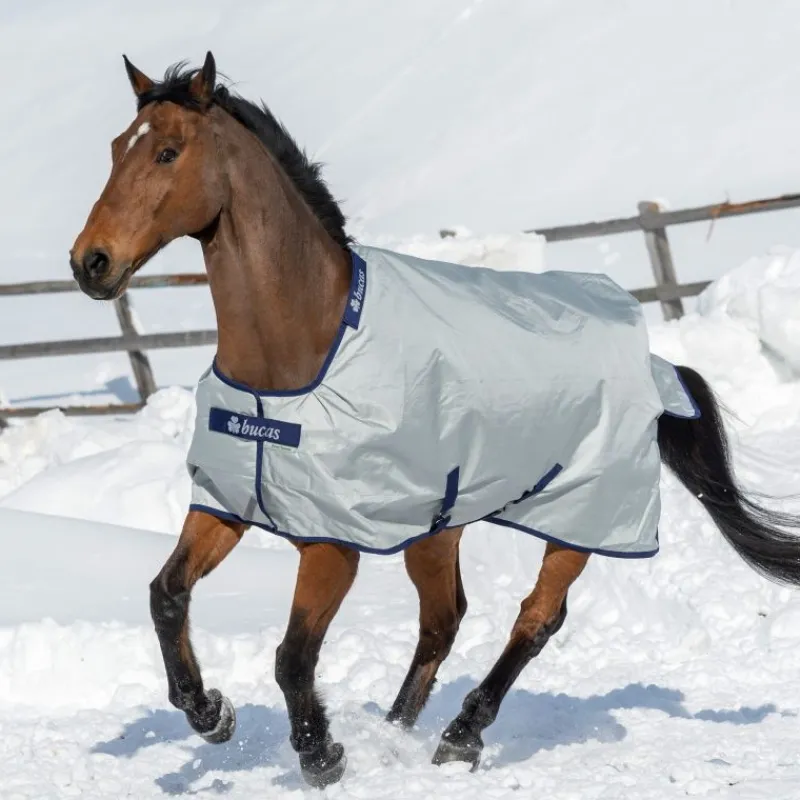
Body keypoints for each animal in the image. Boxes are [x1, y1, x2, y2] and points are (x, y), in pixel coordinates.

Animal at [69, 52, 800, 788]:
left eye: (168, 151)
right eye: (114, 149)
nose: (90, 262)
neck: (297, 357)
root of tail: (652, 361)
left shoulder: (333, 544)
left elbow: (293, 654)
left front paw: (321, 754)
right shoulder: (227, 503)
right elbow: (167, 594)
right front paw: (210, 713)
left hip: (579, 519)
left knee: (536, 618)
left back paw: (459, 736)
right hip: (437, 525)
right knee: (443, 620)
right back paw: (395, 733)